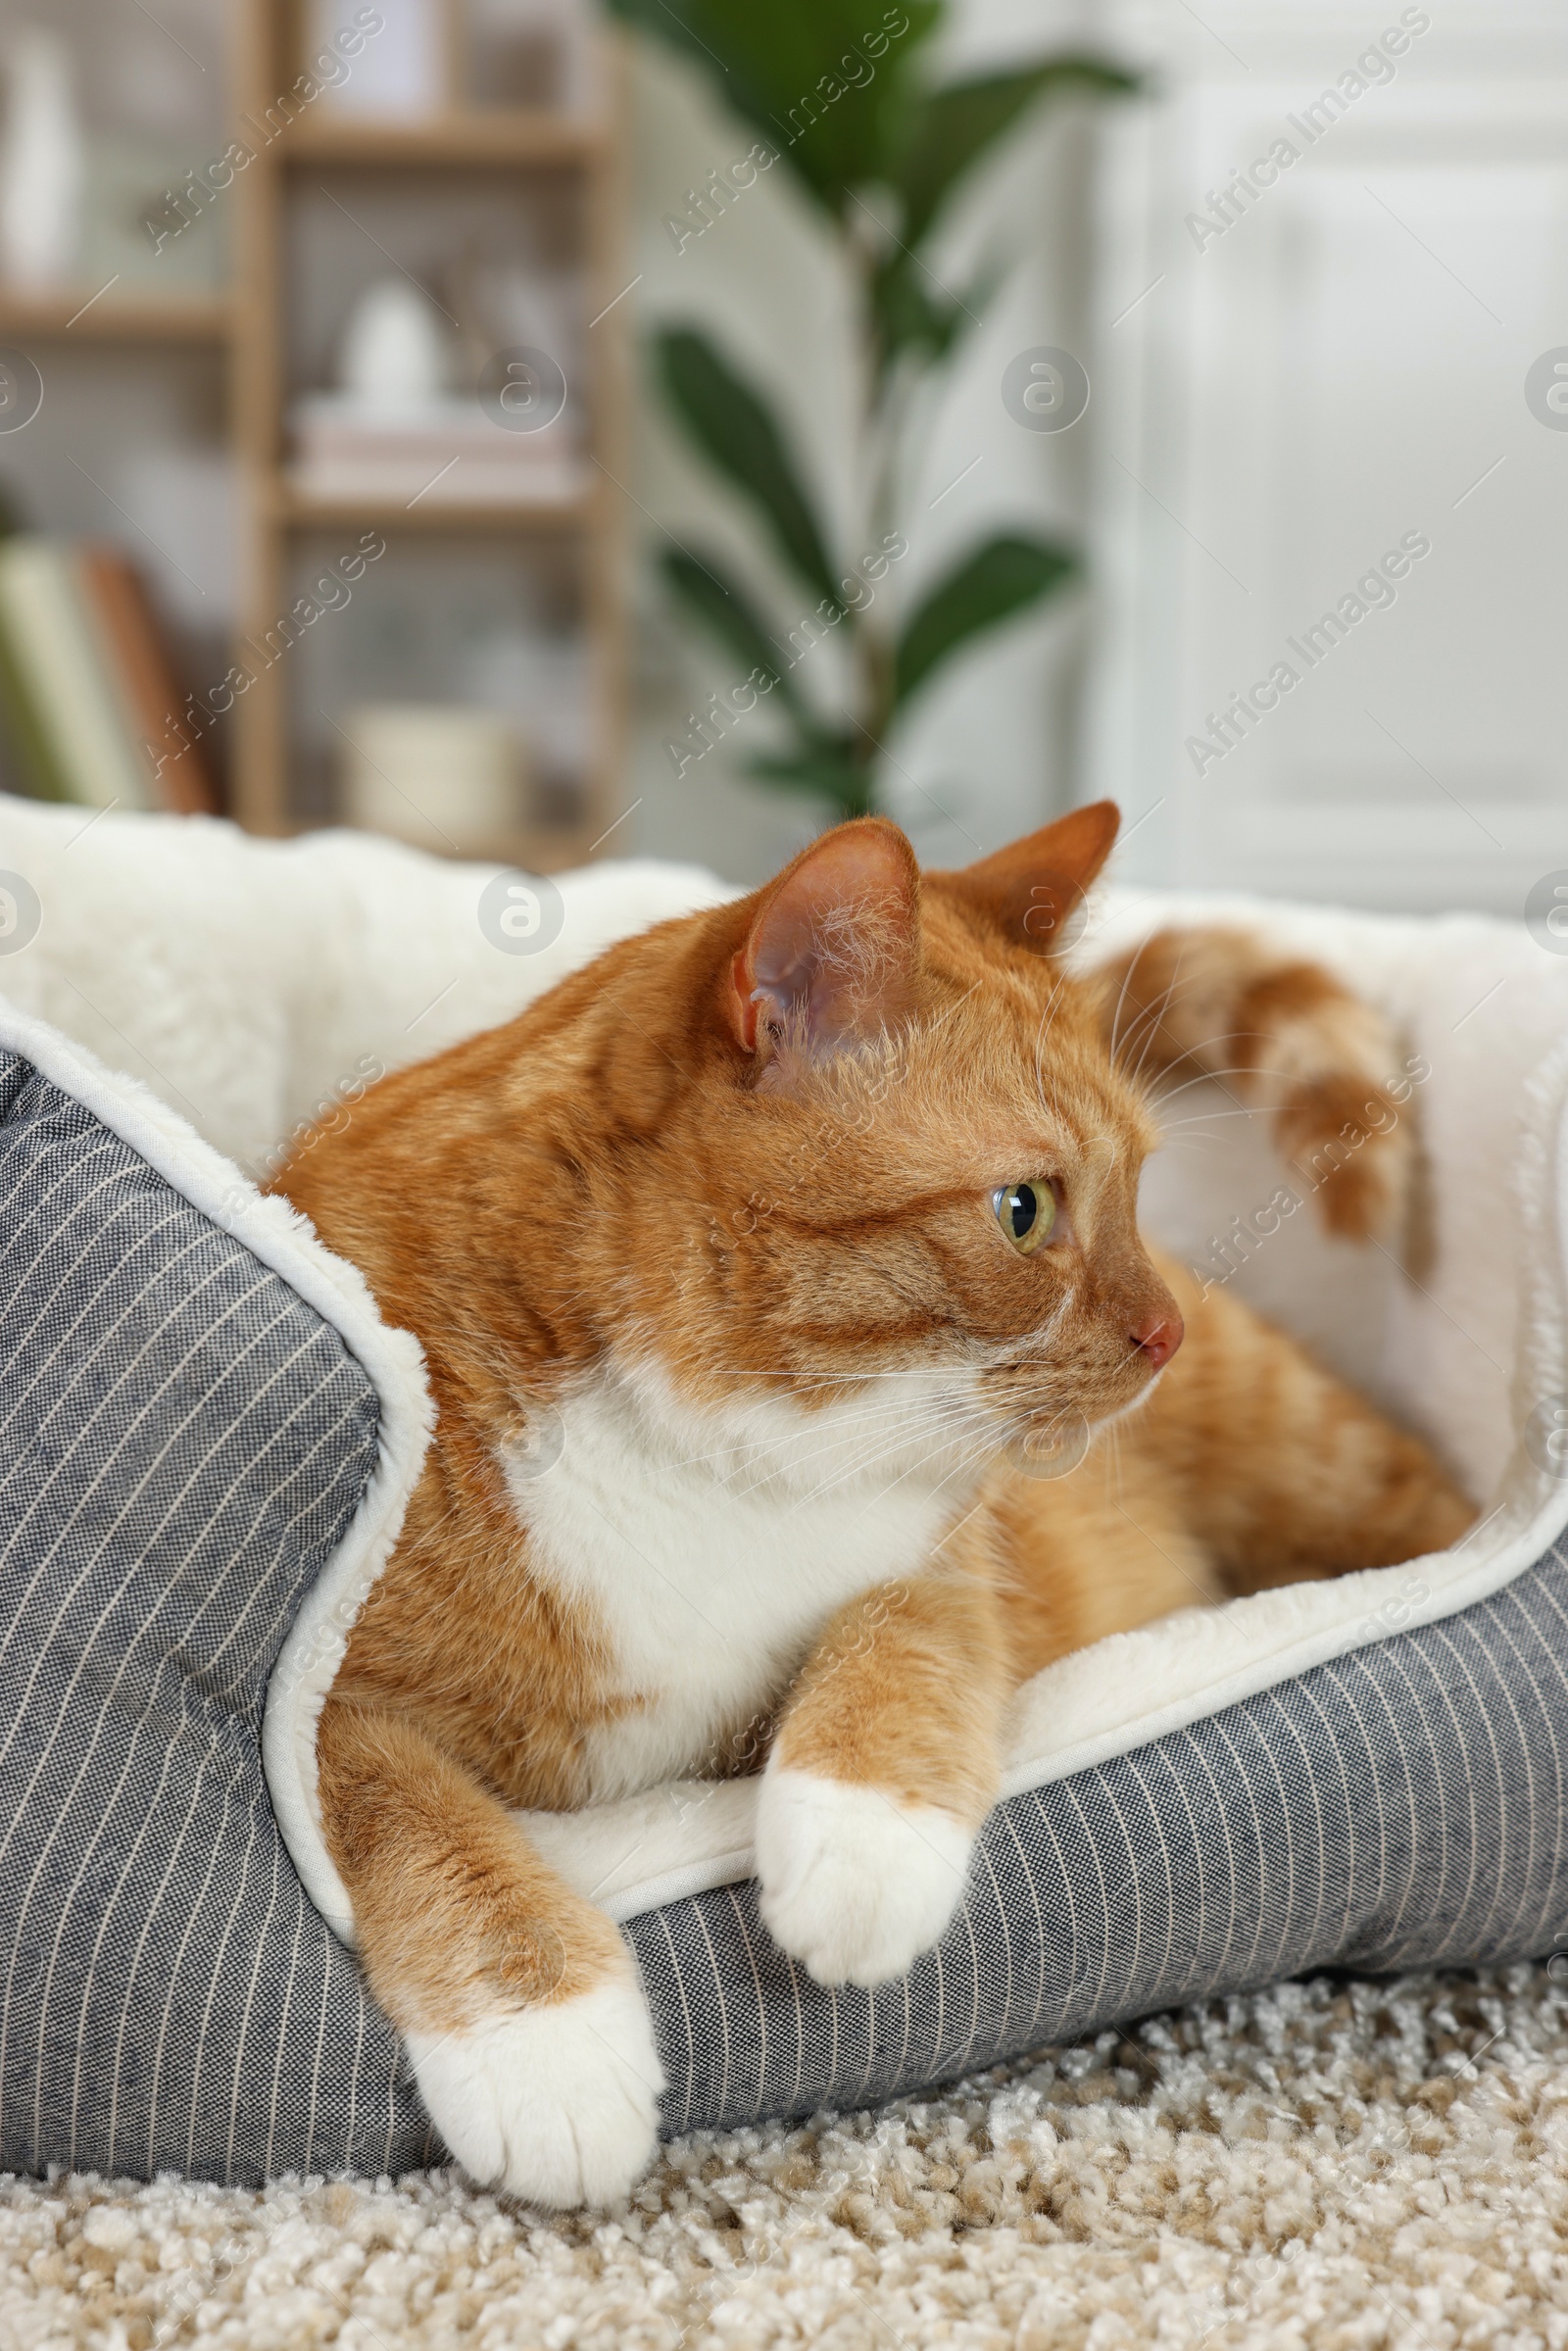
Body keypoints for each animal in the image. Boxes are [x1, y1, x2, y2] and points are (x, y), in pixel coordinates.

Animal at [278, 804, 1476, 2200]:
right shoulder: (322, 1705)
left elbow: (904, 1637)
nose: (1161, 1331)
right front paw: (546, 2042)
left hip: (1302, 1446)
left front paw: (859, 1843)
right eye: (1025, 1209)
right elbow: (410, 1812)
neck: (709, 1449)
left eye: (1135, 1187)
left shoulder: (953, 1555)